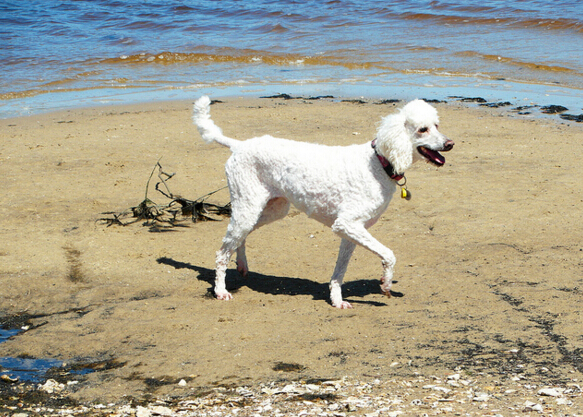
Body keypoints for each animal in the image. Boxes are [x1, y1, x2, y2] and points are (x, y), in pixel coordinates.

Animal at [193, 96, 453, 308]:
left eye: (437, 125)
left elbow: (340, 271)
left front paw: (337, 301)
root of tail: (239, 145)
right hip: (248, 206)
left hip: (272, 209)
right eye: (422, 129)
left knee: (239, 239)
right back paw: (220, 290)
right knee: (222, 252)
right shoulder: (347, 224)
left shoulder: (351, 231)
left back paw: (241, 264)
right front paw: (386, 284)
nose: (450, 144)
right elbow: (389, 255)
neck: (379, 162)